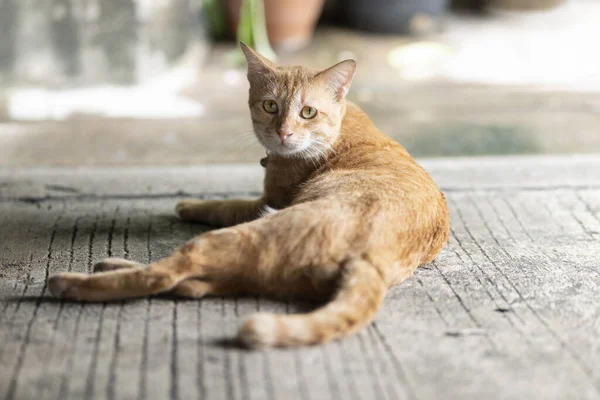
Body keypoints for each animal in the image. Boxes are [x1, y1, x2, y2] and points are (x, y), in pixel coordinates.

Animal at [48, 43, 450, 346]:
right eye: (270, 105)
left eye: (307, 112)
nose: (284, 133)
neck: (337, 129)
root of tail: (371, 258)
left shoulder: (266, 202)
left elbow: (225, 205)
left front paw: (189, 204)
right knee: (192, 284)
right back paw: (112, 265)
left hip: (240, 235)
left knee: (168, 273)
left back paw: (72, 282)